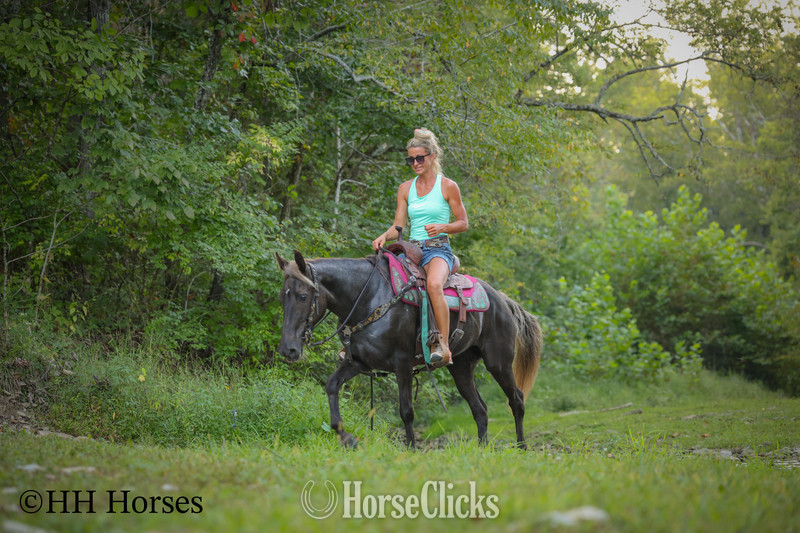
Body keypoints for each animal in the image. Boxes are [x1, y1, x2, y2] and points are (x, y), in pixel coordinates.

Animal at [275, 249, 542, 449]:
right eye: (282, 296)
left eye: (302, 296)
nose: (288, 350)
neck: (368, 298)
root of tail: (502, 299)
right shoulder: (358, 362)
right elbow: (332, 386)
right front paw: (347, 438)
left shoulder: (401, 364)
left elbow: (406, 411)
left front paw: (412, 448)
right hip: (461, 368)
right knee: (480, 409)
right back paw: (482, 449)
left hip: (498, 362)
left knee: (517, 399)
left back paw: (521, 448)